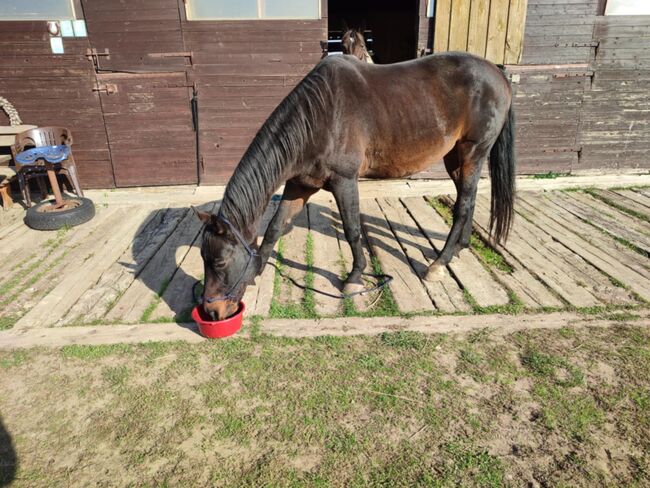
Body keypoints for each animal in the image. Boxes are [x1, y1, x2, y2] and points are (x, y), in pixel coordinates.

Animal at [195, 52, 512, 320]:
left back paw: (438, 265)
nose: (212, 312)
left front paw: (354, 278)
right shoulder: (299, 185)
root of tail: (498, 73)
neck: (319, 117)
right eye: (202, 257)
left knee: (463, 206)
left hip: (473, 153)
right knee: (467, 200)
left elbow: (352, 229)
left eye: (220, 262)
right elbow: (274, 228)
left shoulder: (344, 181)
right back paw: (459, 248)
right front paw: (258, 268)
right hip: (455, 158)